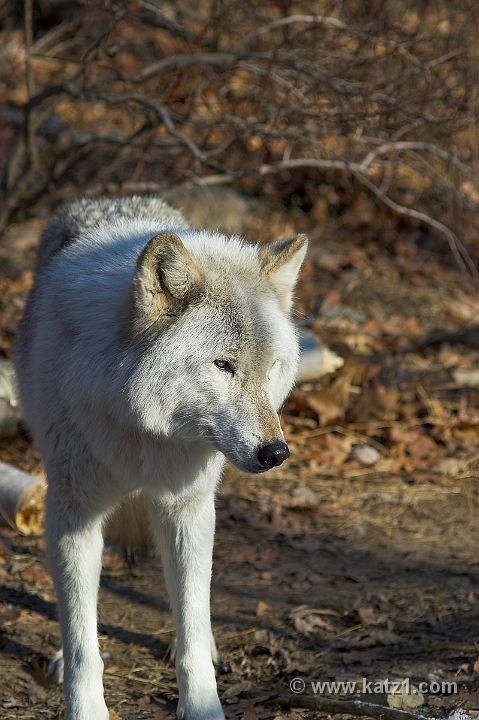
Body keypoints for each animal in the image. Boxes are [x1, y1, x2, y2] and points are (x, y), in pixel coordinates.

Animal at [15, 195, 308, 720]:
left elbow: (190, 622)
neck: (141, 427)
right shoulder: (73, 512)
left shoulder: (185, 508)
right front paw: (85, 707)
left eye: (271, 368)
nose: (276, 452)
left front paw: (203, 706)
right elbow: (83, 638)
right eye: (223, 365)